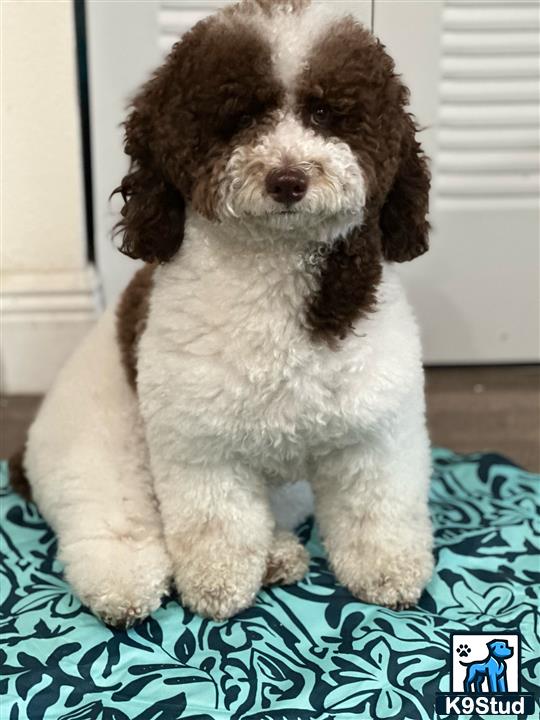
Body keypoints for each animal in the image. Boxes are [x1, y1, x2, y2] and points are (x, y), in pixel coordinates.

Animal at [12, 0, 434, 624]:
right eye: (238, 120)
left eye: (326, 113)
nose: (288, 179)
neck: (275, 280)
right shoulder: (202, 445)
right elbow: (218, 526)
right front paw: (218, 587)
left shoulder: (374, 431)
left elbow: (377, 509)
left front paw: (389, 573)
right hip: (102, 447)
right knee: (113, 521)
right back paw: (124, 586)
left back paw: (279, 554)